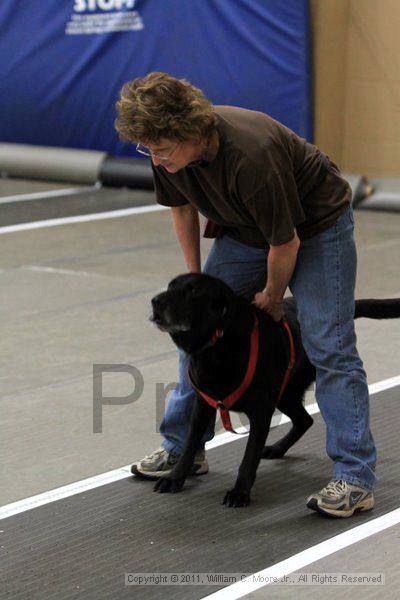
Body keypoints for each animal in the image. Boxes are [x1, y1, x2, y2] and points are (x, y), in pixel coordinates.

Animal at [148, 276, 398, 506]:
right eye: (171, 286)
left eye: (192, 291)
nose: (155, 301)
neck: (217, 347)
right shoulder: (203, 404)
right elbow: (189, 445)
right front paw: (174, 478)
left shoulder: (261, 412)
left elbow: (249, 457)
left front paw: (240, 492)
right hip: (285, 394)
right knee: (304, 420)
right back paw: (277, 449)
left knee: (305, 419)